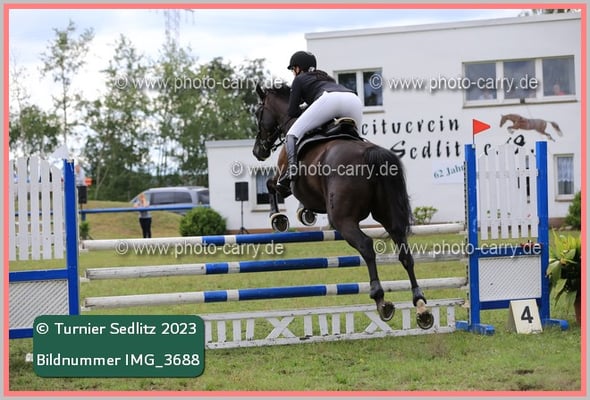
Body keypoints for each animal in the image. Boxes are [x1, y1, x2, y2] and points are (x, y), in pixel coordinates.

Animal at [252, 83, 433, 328]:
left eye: (258, 113)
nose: (257, 151)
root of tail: (369, 153)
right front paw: (304, 213)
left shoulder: (284, 181)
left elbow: (271, 185)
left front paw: (278, 218)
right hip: (388, 216)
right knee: (404, 251)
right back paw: (421, 306)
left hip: (343, 219)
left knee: (366, 246)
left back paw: (381, 301)